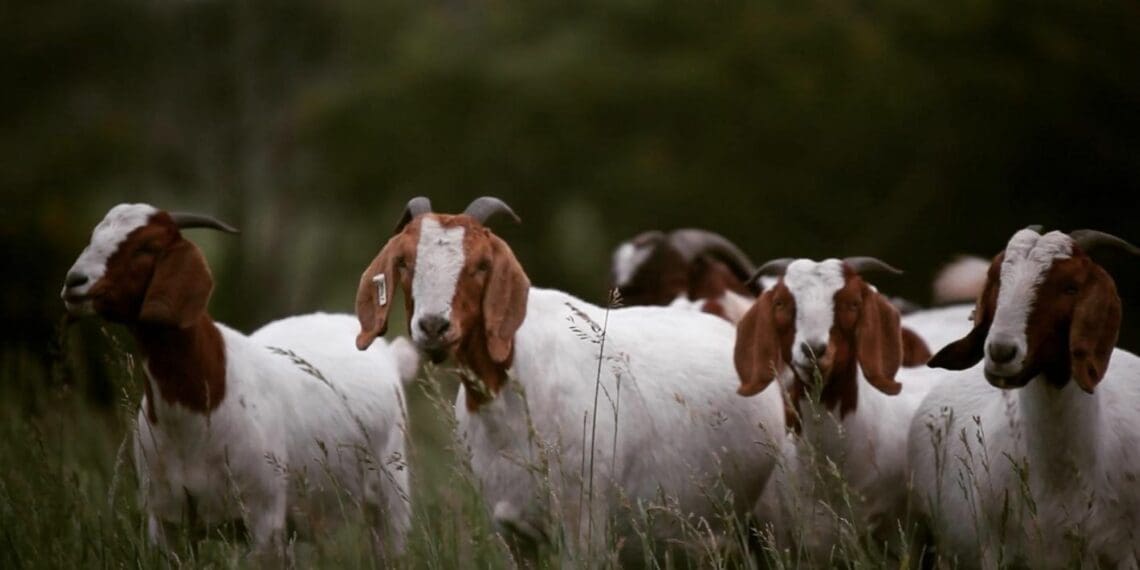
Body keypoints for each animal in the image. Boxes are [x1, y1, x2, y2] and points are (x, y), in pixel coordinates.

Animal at [60, 204, 418, 562]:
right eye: (94, 236)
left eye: (147, 246)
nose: (74, 282)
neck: (201, 401)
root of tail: (387, 352)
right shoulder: (165, 521)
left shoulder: (263, 517)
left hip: (391, 493)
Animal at [355, 197, 785, 564]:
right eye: (405, 262)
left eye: (481, 265)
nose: (432, 326)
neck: (512, 389)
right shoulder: (510, 534)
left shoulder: (582, 525)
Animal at [908, 228, 1140, 568]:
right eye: (999, 283)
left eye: (1070, 287)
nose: (1000, 352)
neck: (1061, 478)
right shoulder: (994, 550)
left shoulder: (1123, 550)